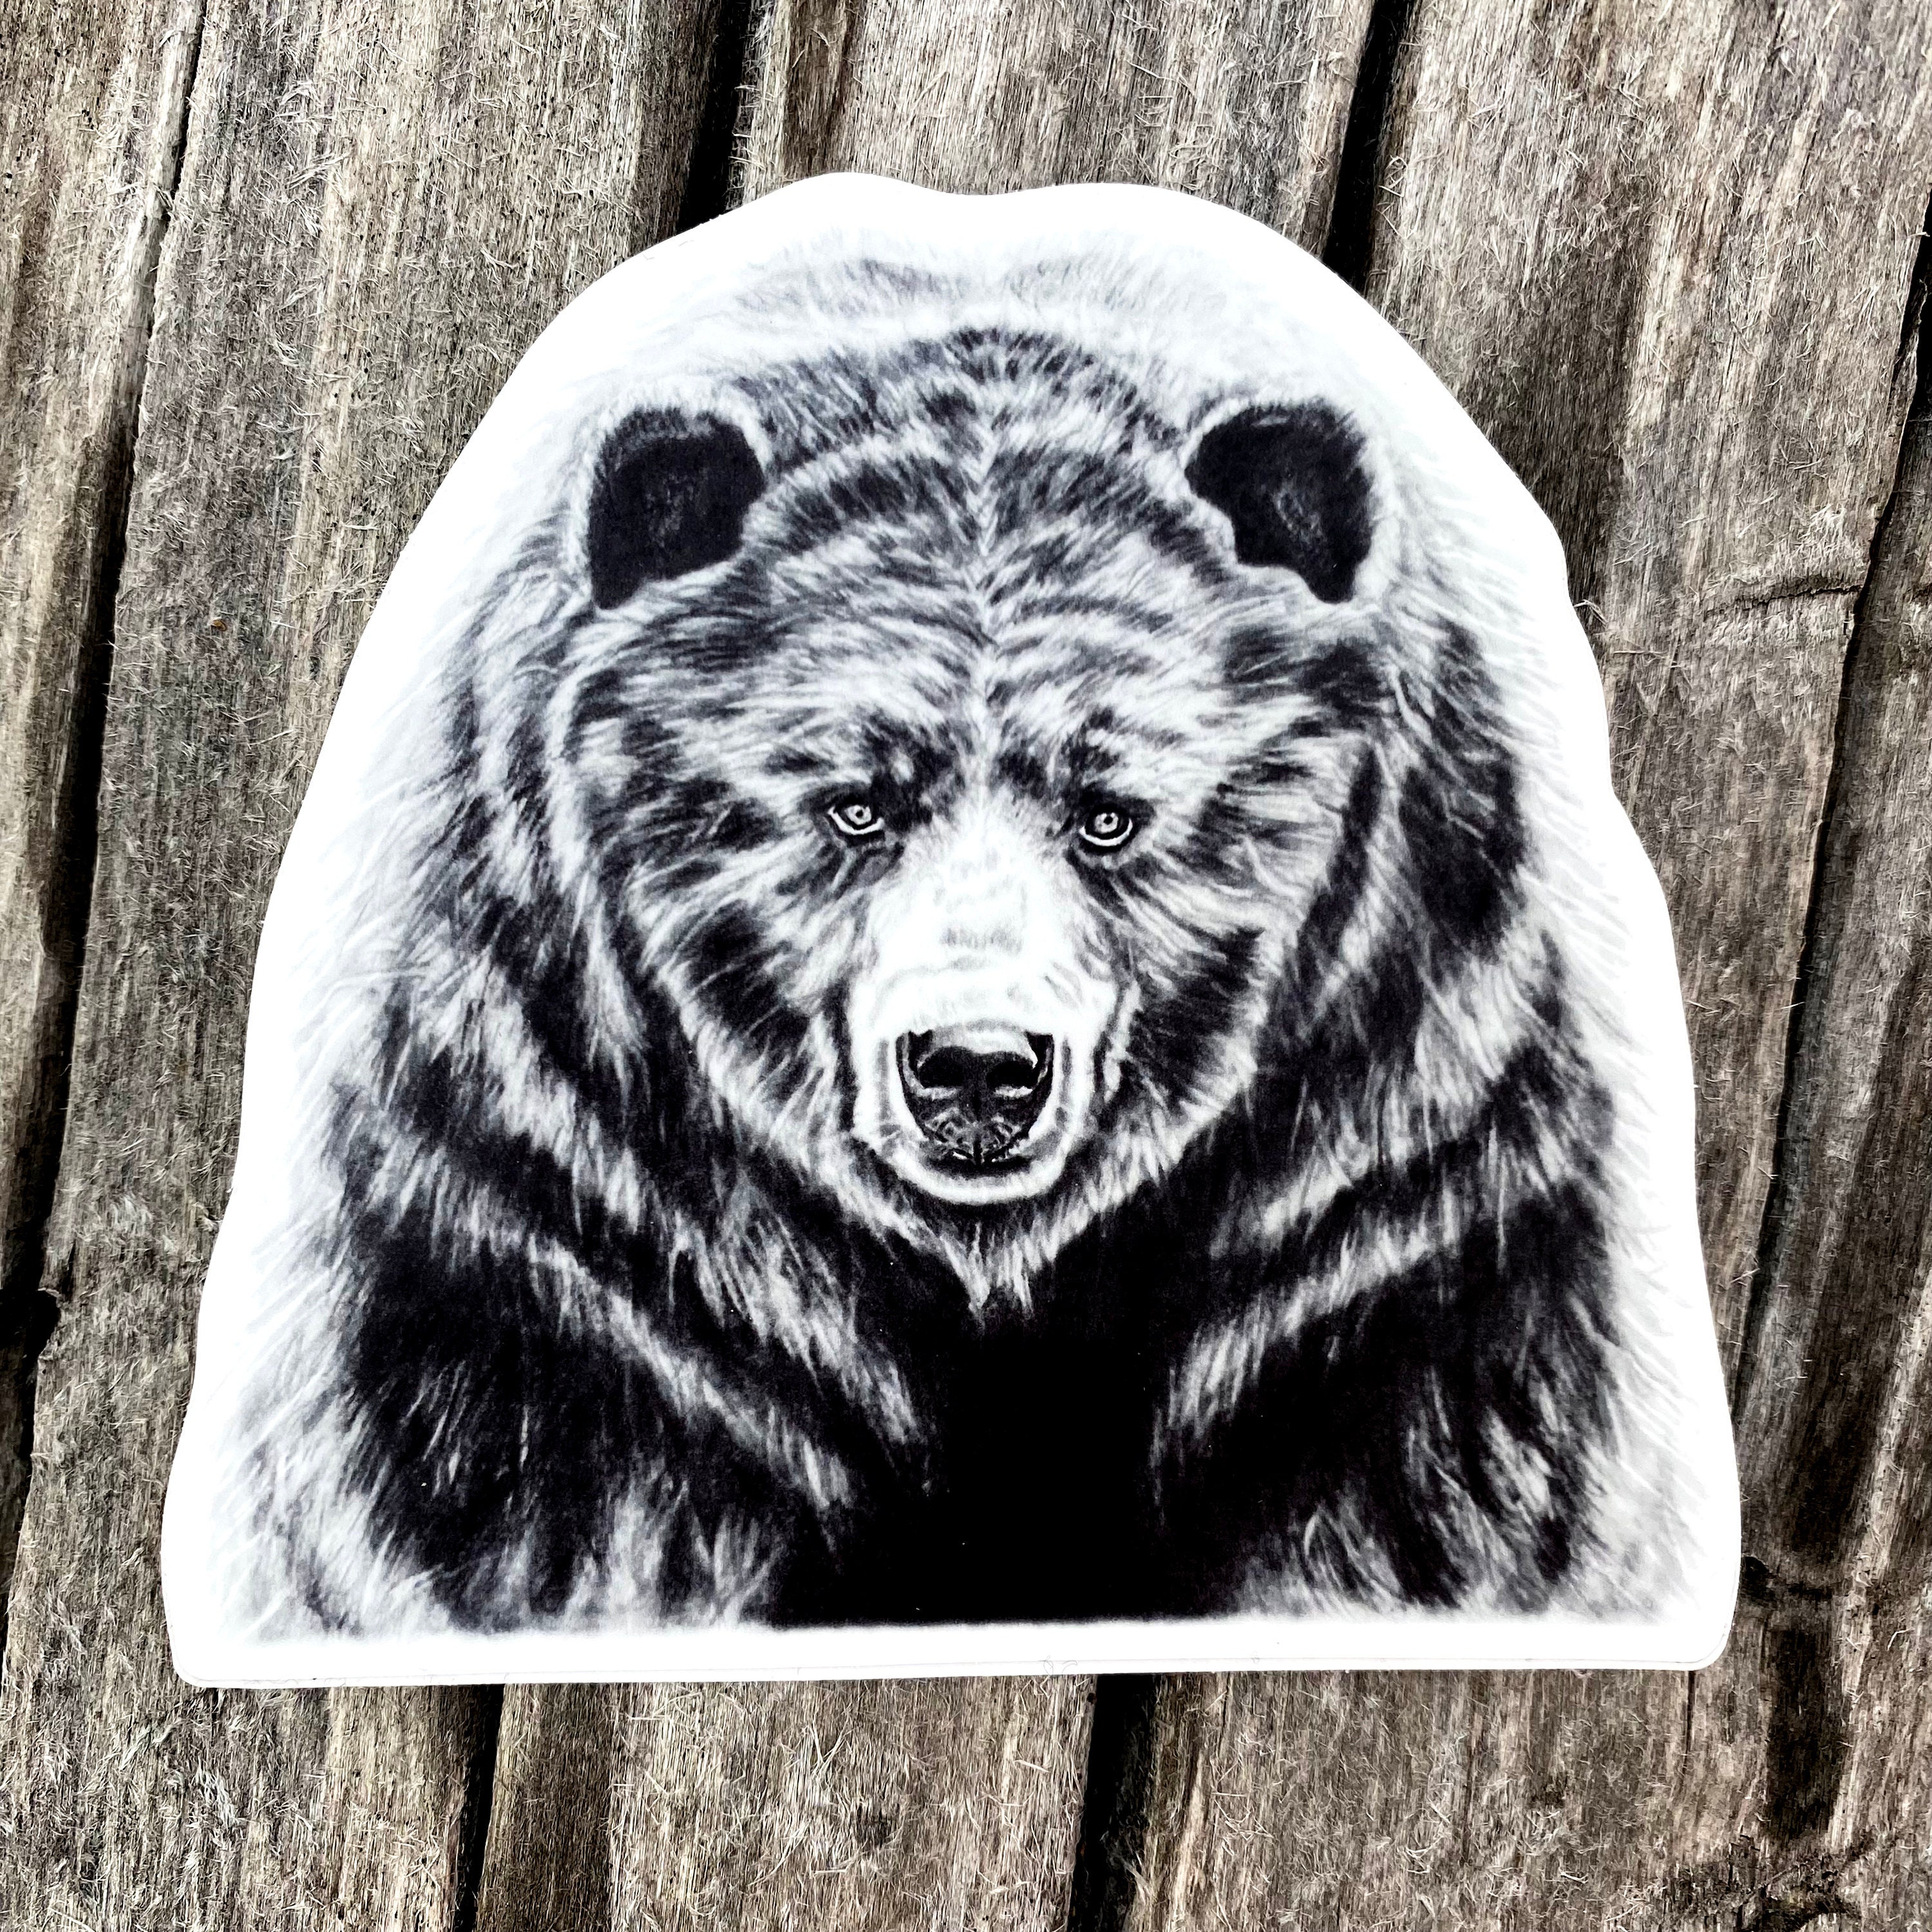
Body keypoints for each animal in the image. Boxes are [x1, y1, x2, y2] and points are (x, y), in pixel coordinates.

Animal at [217, 297, 1686, 1637]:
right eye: (856, 802)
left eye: (1110, 810)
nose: (977, 1068)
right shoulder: (592, 1256)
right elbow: (549, 1501)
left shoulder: (1373, 1230)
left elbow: (1417, 1484)